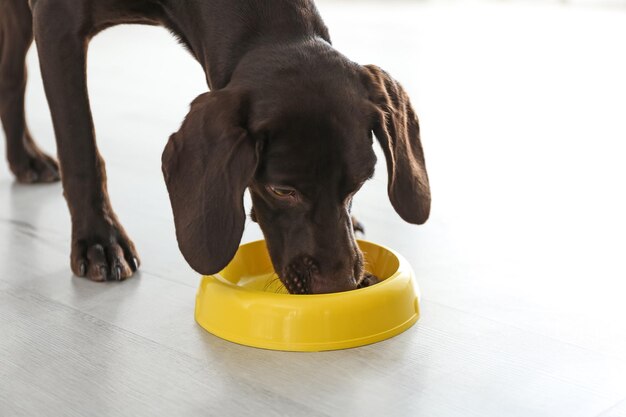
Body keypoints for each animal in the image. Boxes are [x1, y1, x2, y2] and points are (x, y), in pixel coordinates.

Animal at [0, 0, 428, 292]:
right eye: (282, 190)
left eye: (359, 185)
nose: (338, 287)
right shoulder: (58, 23)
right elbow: (80, 147)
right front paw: (99, 239)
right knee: (13, 74)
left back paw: (25, 159)